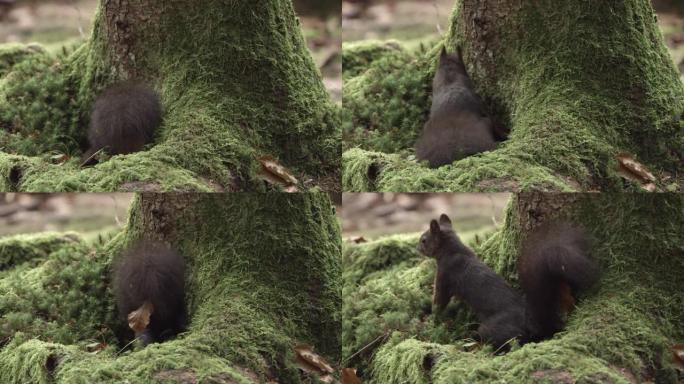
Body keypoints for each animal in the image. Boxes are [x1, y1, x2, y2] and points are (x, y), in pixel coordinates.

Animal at [416, 214, 600, 350]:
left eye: (424, 240)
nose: (417, 249)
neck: (454, 250)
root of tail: (530, 323)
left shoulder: (445, 275)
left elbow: (439, 300)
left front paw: (432, 320)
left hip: (493, 329)